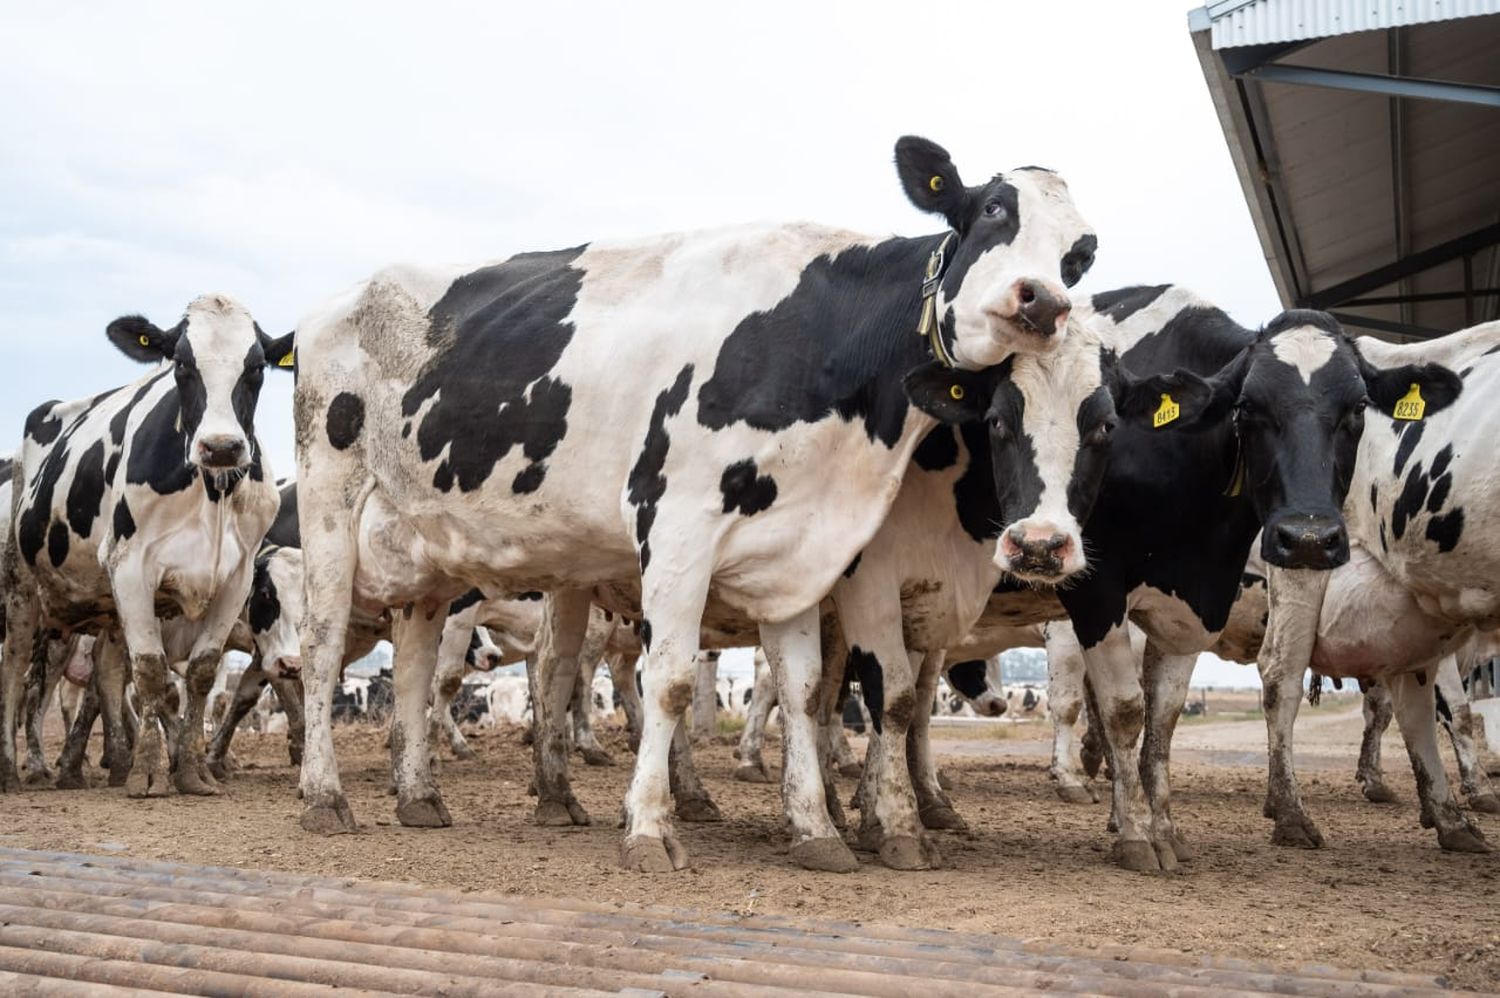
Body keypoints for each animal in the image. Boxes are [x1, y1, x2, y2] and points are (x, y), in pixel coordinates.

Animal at [0, 294, 289, 792]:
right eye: (181, 364)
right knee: (16, 673)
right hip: (21, 588)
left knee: (105, 667)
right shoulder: (132, 567)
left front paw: (191, 772)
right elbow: (152, 672)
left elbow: (199, 673)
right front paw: (151, 775)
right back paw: (16, 769)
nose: (221, 447)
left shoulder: (236, 579)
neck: (212, 490)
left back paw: (113, 761)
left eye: (255, 367)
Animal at [286, 136, 1098, 870]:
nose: (1044, 302)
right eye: (992, 210)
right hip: (329, 498)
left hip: (426, 553)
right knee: (322, 648)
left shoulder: (796, 548)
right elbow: (673, 681)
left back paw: (419, 795)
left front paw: (818, 832)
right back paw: (325, 796)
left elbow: (803, 690)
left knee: (421, 668)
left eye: (1080, 254)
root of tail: (340, 300)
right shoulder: (676, 525)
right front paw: (649, 830)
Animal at [1260, 322, 1494, 852]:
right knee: (1280, 678)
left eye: (1356, 409)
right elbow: (1460, 712)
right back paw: (1291, 815)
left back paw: (1449, 820)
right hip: (1305, 563)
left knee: (1411, 705)